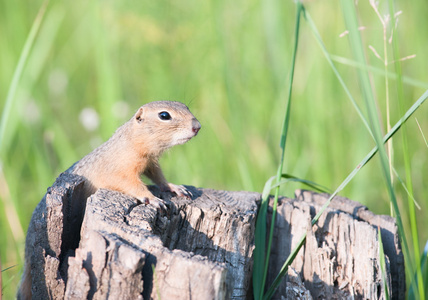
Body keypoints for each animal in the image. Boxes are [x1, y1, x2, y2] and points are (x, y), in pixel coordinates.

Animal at [17, 100, 201, 300]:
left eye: (186, 107)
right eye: (164, 115)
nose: (197, 126)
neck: (132, 140)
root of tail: (27, 254)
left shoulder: (151, 162)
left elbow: (158, 177)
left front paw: (174, 187)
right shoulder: (121, 171)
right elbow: (134, 185)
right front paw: (152, 199)